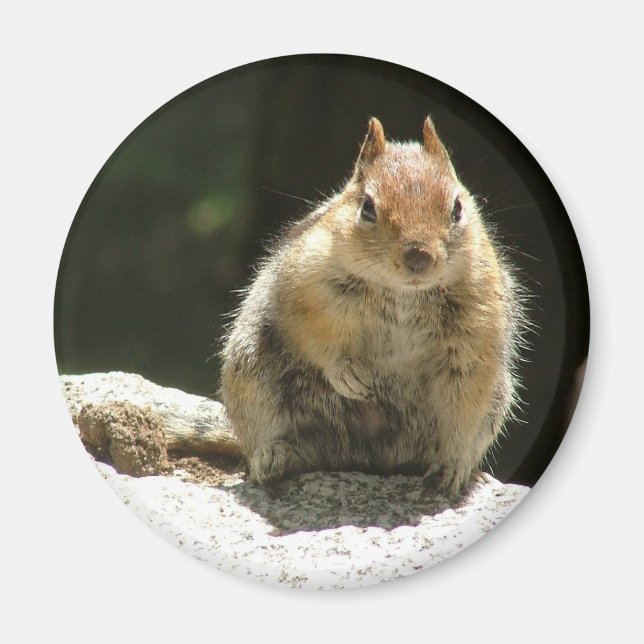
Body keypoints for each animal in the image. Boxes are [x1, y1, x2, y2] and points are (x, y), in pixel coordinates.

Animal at [220, 116, 527, 497]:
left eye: (457, 208)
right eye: (367, 207)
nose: (418, 257)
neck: (403, 293)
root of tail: (371, 461)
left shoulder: (477, 330)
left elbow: (466, 402)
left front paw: (453, 465)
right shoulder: (304, 287)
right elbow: (313, 335)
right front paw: (346, 374)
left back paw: (471, 472)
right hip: (257, 375)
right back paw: (275, 456)